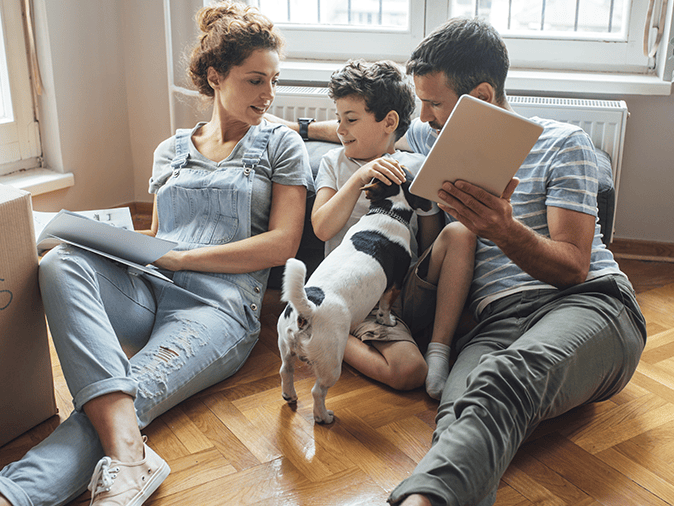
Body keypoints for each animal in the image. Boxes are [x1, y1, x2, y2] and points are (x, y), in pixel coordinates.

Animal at [276, 172, 430, 424]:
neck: (389, 210)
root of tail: (307, 311)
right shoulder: (395, 284)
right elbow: (385, 307)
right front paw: (387, 321)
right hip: (331, 364)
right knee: (318, 391)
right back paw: (323, 417)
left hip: (286, 346)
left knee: (285, 371)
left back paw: (290, 395)